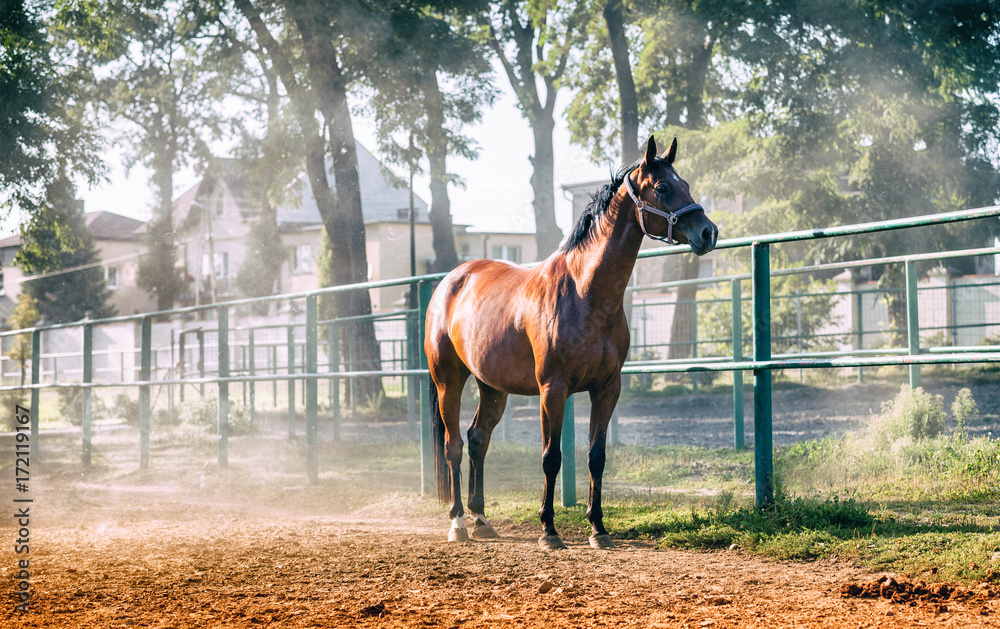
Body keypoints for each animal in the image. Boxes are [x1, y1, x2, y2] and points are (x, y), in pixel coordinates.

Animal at [426, 135, 716, 548]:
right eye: (662, 188)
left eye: (686, 184)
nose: (708, 232)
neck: (585, 294)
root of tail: (450, 281)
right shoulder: (553, 388)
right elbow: (552, 457)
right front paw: (549, 530)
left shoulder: (607, 388)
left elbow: (597, 456)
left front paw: (598, 529)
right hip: (448, 381)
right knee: (454, 446)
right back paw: (458, 524)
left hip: (492, 387)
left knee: (478, 439)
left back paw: (481, 519)